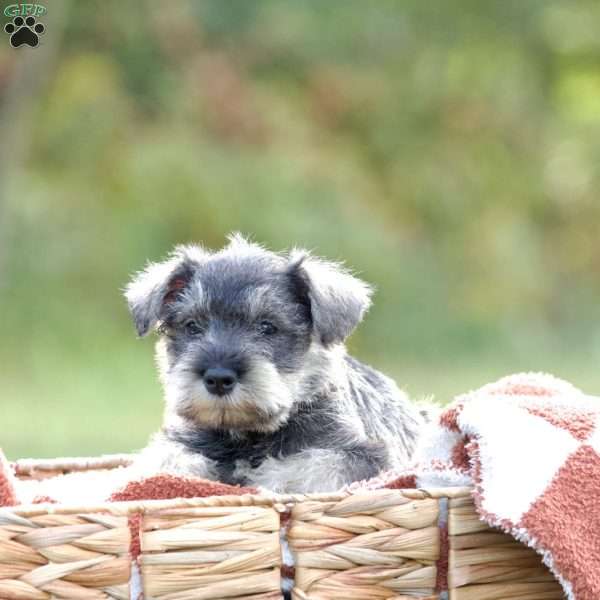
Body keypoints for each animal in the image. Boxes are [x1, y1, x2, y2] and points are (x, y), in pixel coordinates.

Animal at [127, 234, 422, 492]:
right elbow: (166, 461)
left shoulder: (362, 456)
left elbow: (306, 468)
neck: (246, 435)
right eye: (192, 326)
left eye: (267, 326)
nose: (218, 378)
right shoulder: (179, 443)